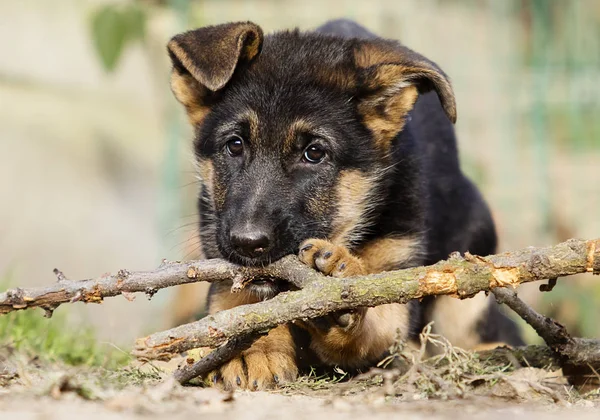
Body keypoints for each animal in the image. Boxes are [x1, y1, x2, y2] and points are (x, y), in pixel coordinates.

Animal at [166, 18, 524, 388]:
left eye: (314, 153)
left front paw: (338, 302)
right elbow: (240, 308)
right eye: (234, 145)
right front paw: (253, 351)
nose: (248, 243)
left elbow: (376, 319)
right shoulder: (224, 270)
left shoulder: (397, 273)